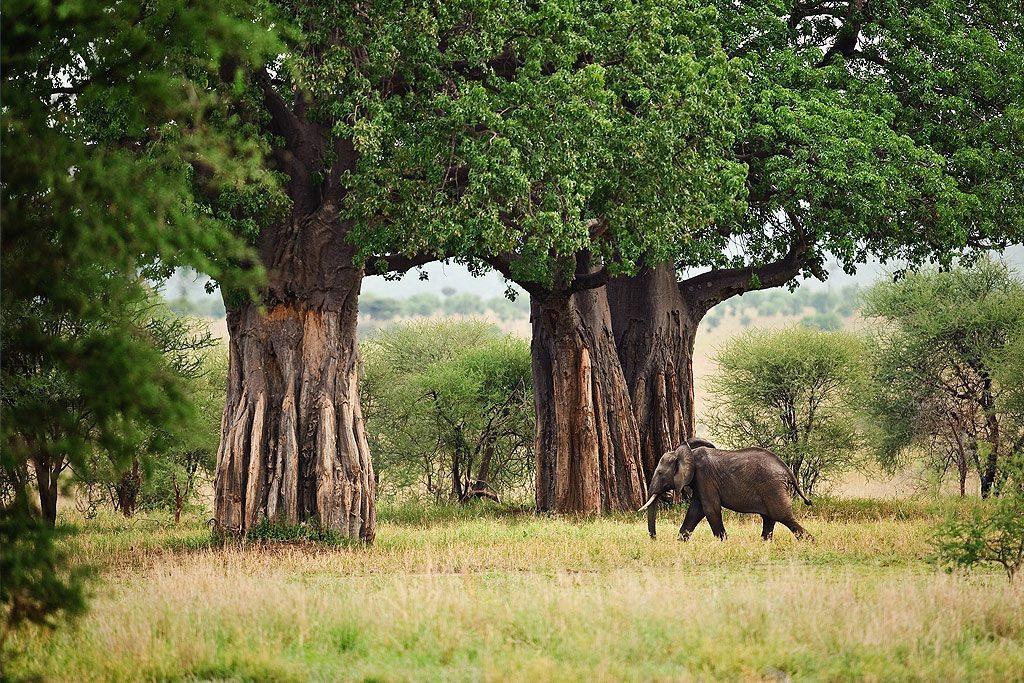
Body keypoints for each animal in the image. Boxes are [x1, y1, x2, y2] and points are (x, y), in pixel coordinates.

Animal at [639, 441, 812, 541]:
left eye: (660, 473)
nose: (654, 539)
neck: (688, 453)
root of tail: (787, 470)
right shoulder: (699, 482)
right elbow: (695, 511)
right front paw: (681, 542)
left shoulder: (704, 476)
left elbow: (710, 509)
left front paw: (724, 542)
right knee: (770, 518)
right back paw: (764, 544)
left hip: (772, 487)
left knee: (783, 517)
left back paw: (809, 542)